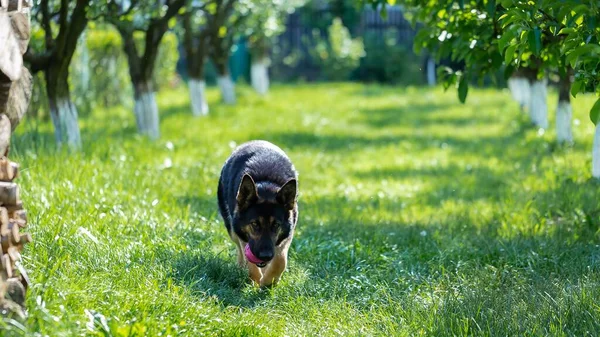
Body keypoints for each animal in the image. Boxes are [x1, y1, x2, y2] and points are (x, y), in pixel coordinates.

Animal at [217, 140, 298, 286]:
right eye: (254, 224)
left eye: (276, 225)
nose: (265, 255)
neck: (266, 187)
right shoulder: (244, 236)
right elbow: (250, 262)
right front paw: (255, 281)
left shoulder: (287, 235)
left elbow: (280, 260)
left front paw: (268, 281)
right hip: (231, 228)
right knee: (240, 251)